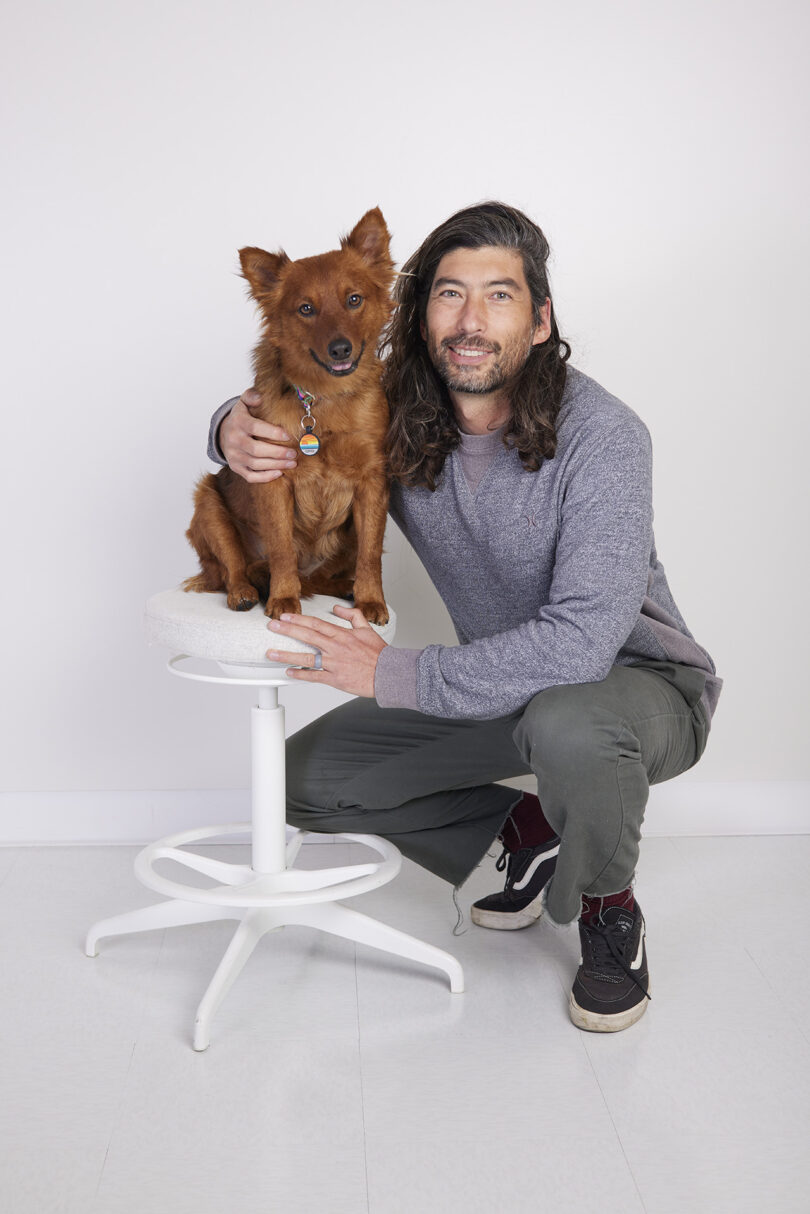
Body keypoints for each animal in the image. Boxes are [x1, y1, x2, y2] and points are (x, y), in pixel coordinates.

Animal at [187, 208, 395, 621]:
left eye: (354, 299)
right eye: (306, 309)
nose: (340, 348)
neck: (326, 400)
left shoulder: (372, 483)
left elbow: (370, 554)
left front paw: (370, 601)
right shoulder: (273, 478)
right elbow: (281, 546)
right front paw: (283, 599)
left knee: (325, 576)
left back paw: (343, 587)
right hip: (208, 502)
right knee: (232, 568)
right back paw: (246, 591)